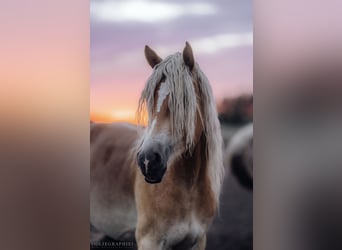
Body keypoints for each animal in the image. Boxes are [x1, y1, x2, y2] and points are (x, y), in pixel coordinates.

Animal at [90, 42, 224, 249]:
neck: (189, 190)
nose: (148, 161)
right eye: (150, 101)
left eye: (183, 102)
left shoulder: (198, 241)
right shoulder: (150, 241)